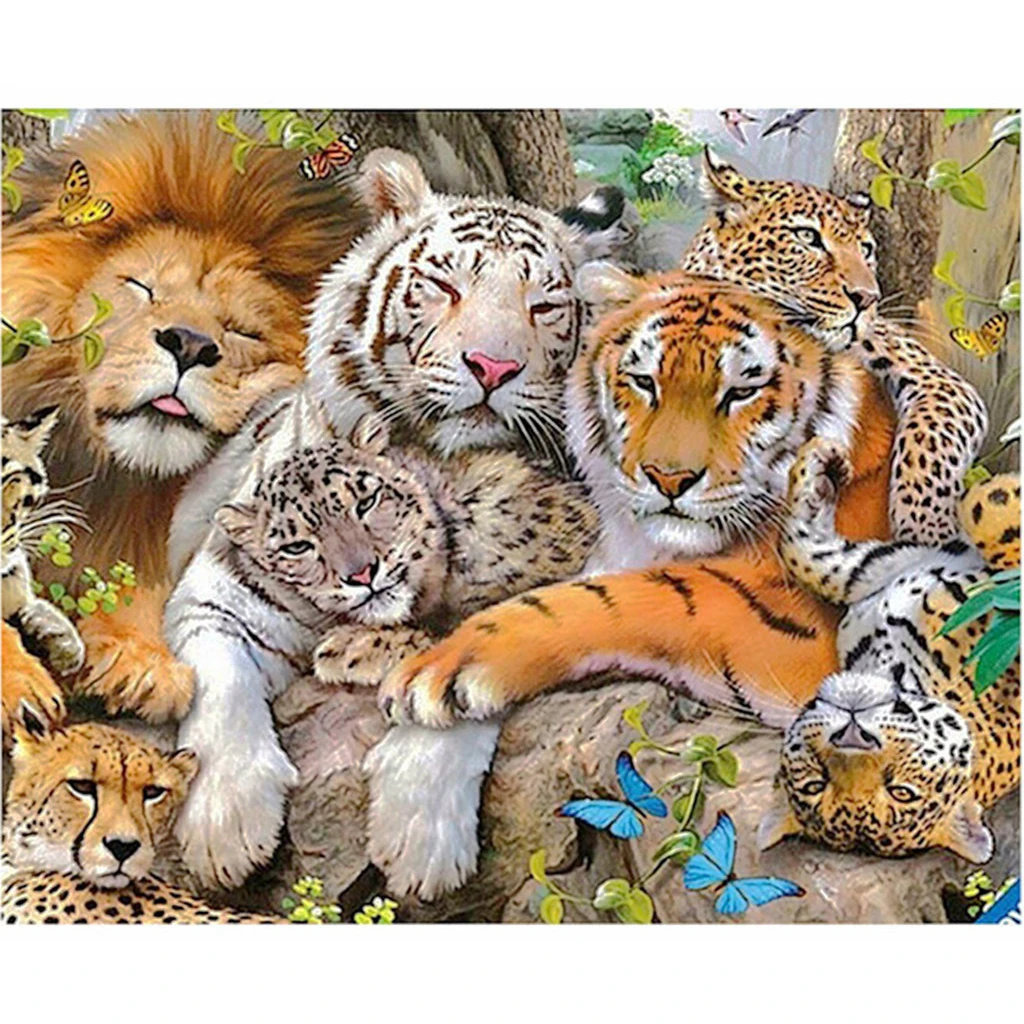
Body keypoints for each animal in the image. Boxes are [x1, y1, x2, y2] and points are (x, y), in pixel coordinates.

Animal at [165, 399, 597, 890]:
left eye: (366, 501)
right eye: (297, 546)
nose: (361, 572)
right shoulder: (219, 605)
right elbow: (218, 674)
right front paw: (225, 825)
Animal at [682, 149, 989, 547]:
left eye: (866, 250)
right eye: (808, 237)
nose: (867, 297)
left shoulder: (936, 377)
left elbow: (931, 443)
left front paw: (927, 532)